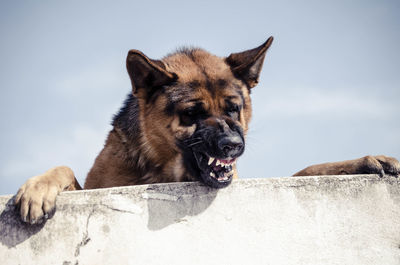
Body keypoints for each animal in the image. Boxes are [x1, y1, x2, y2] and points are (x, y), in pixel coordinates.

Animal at [14, 36, 398, 223]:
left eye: (234, 108)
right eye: (191, 114)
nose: (231, 146)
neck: (166, 171)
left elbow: (305, 171)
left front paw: (363, 162)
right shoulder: (96, 185)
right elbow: (64, 169)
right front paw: (37, 188)